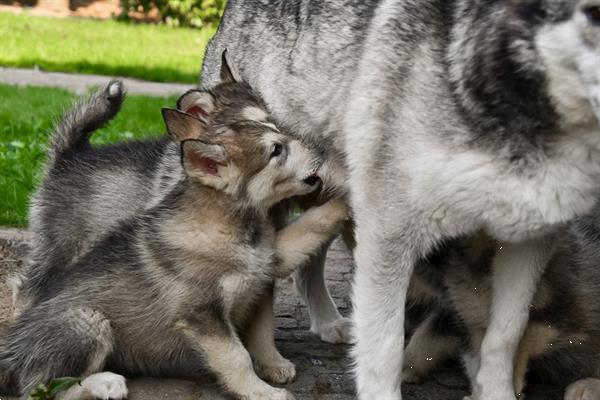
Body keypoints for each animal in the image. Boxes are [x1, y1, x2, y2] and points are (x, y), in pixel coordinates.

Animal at [0, 81, 346, 400]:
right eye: (276, 150)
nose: (324, 151)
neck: (228, 227)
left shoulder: (270, 262)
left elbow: (311, 225)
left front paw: (344, 199)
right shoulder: (202, 314)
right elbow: (237, 357)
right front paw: (262, 392)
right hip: (86, 316)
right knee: (41, 388)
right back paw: (105, 383)